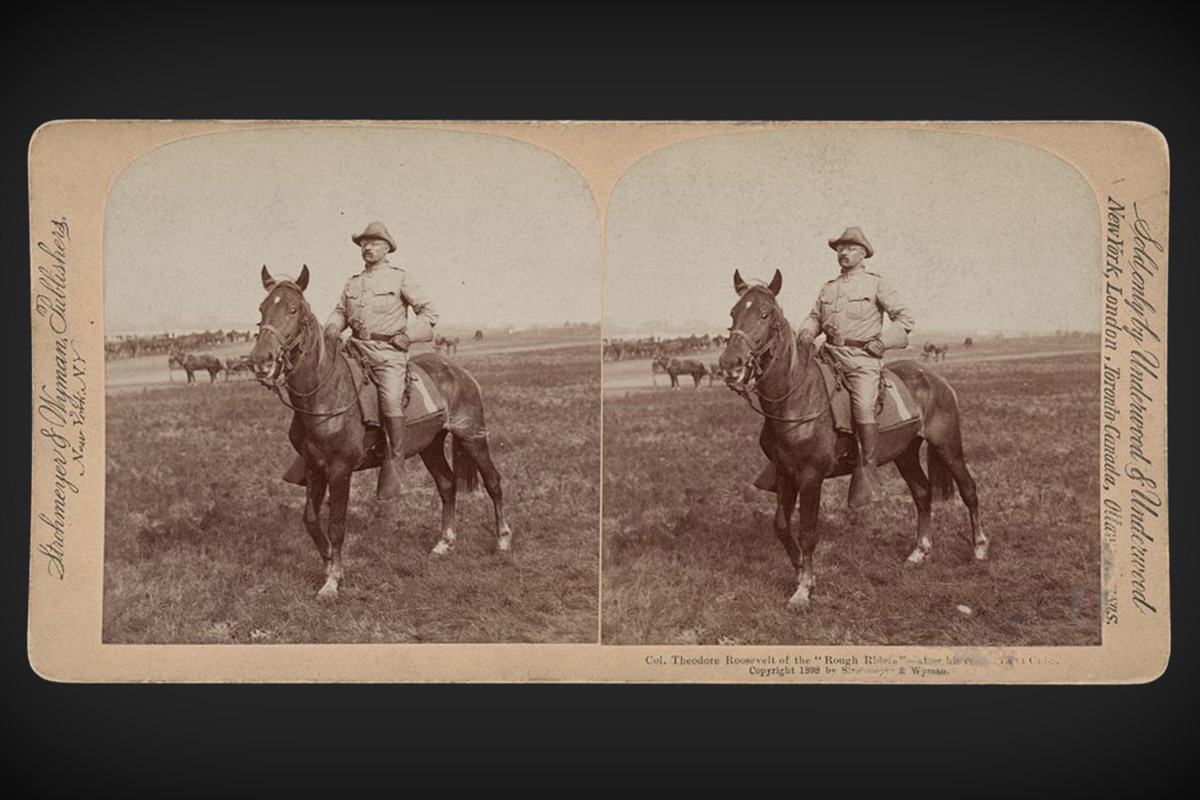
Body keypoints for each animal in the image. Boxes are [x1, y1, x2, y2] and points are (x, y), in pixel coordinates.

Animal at [250, 266, 513, 597]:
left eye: (293, 310)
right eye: (262, 308)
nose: (260, 361)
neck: (326, 392)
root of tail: (460, 372)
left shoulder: (340, 470)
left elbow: (337, 524)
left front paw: (333, 581)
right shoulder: (314, 466)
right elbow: (310, 519)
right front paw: (328, 563)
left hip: (473, 436)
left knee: (493, 482)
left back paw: (502, 539)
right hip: (430, 446)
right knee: (447, 485)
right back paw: (444, 543)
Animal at [720, 268, 984, 606]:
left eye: (766, 315)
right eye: (734, 313)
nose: (730, 365)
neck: (798, 398)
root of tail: (936, 379)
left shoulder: (810, 477)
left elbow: (808, 531)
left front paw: (804, 588)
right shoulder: (785, 473)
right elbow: (780, 525)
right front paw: (800, 570)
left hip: (948, 445)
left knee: (969, 490)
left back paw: (979, 548)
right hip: (905, 453)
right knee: (922, 493)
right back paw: (919, 552)